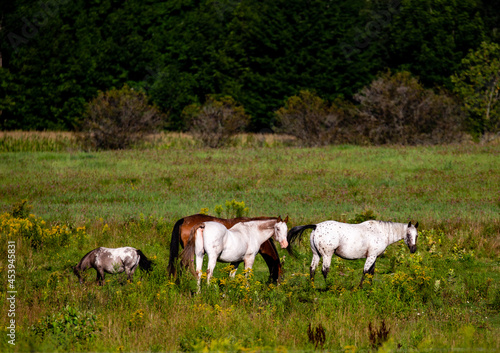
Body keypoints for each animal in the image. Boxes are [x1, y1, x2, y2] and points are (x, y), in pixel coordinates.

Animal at [286, 220, 418, 286]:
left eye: (416, 235)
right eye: (408, 234)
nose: (413, 249)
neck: (381, 232)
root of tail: (316, 226)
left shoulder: (374, 257)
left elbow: (371, 272)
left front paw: (370, 288)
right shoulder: (371, 256)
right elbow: (366, 271)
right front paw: (360, 287)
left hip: (316, 254)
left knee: (312, 269)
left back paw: (312, 287)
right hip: (327, 255)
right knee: (324, 270)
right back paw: (327, 287)